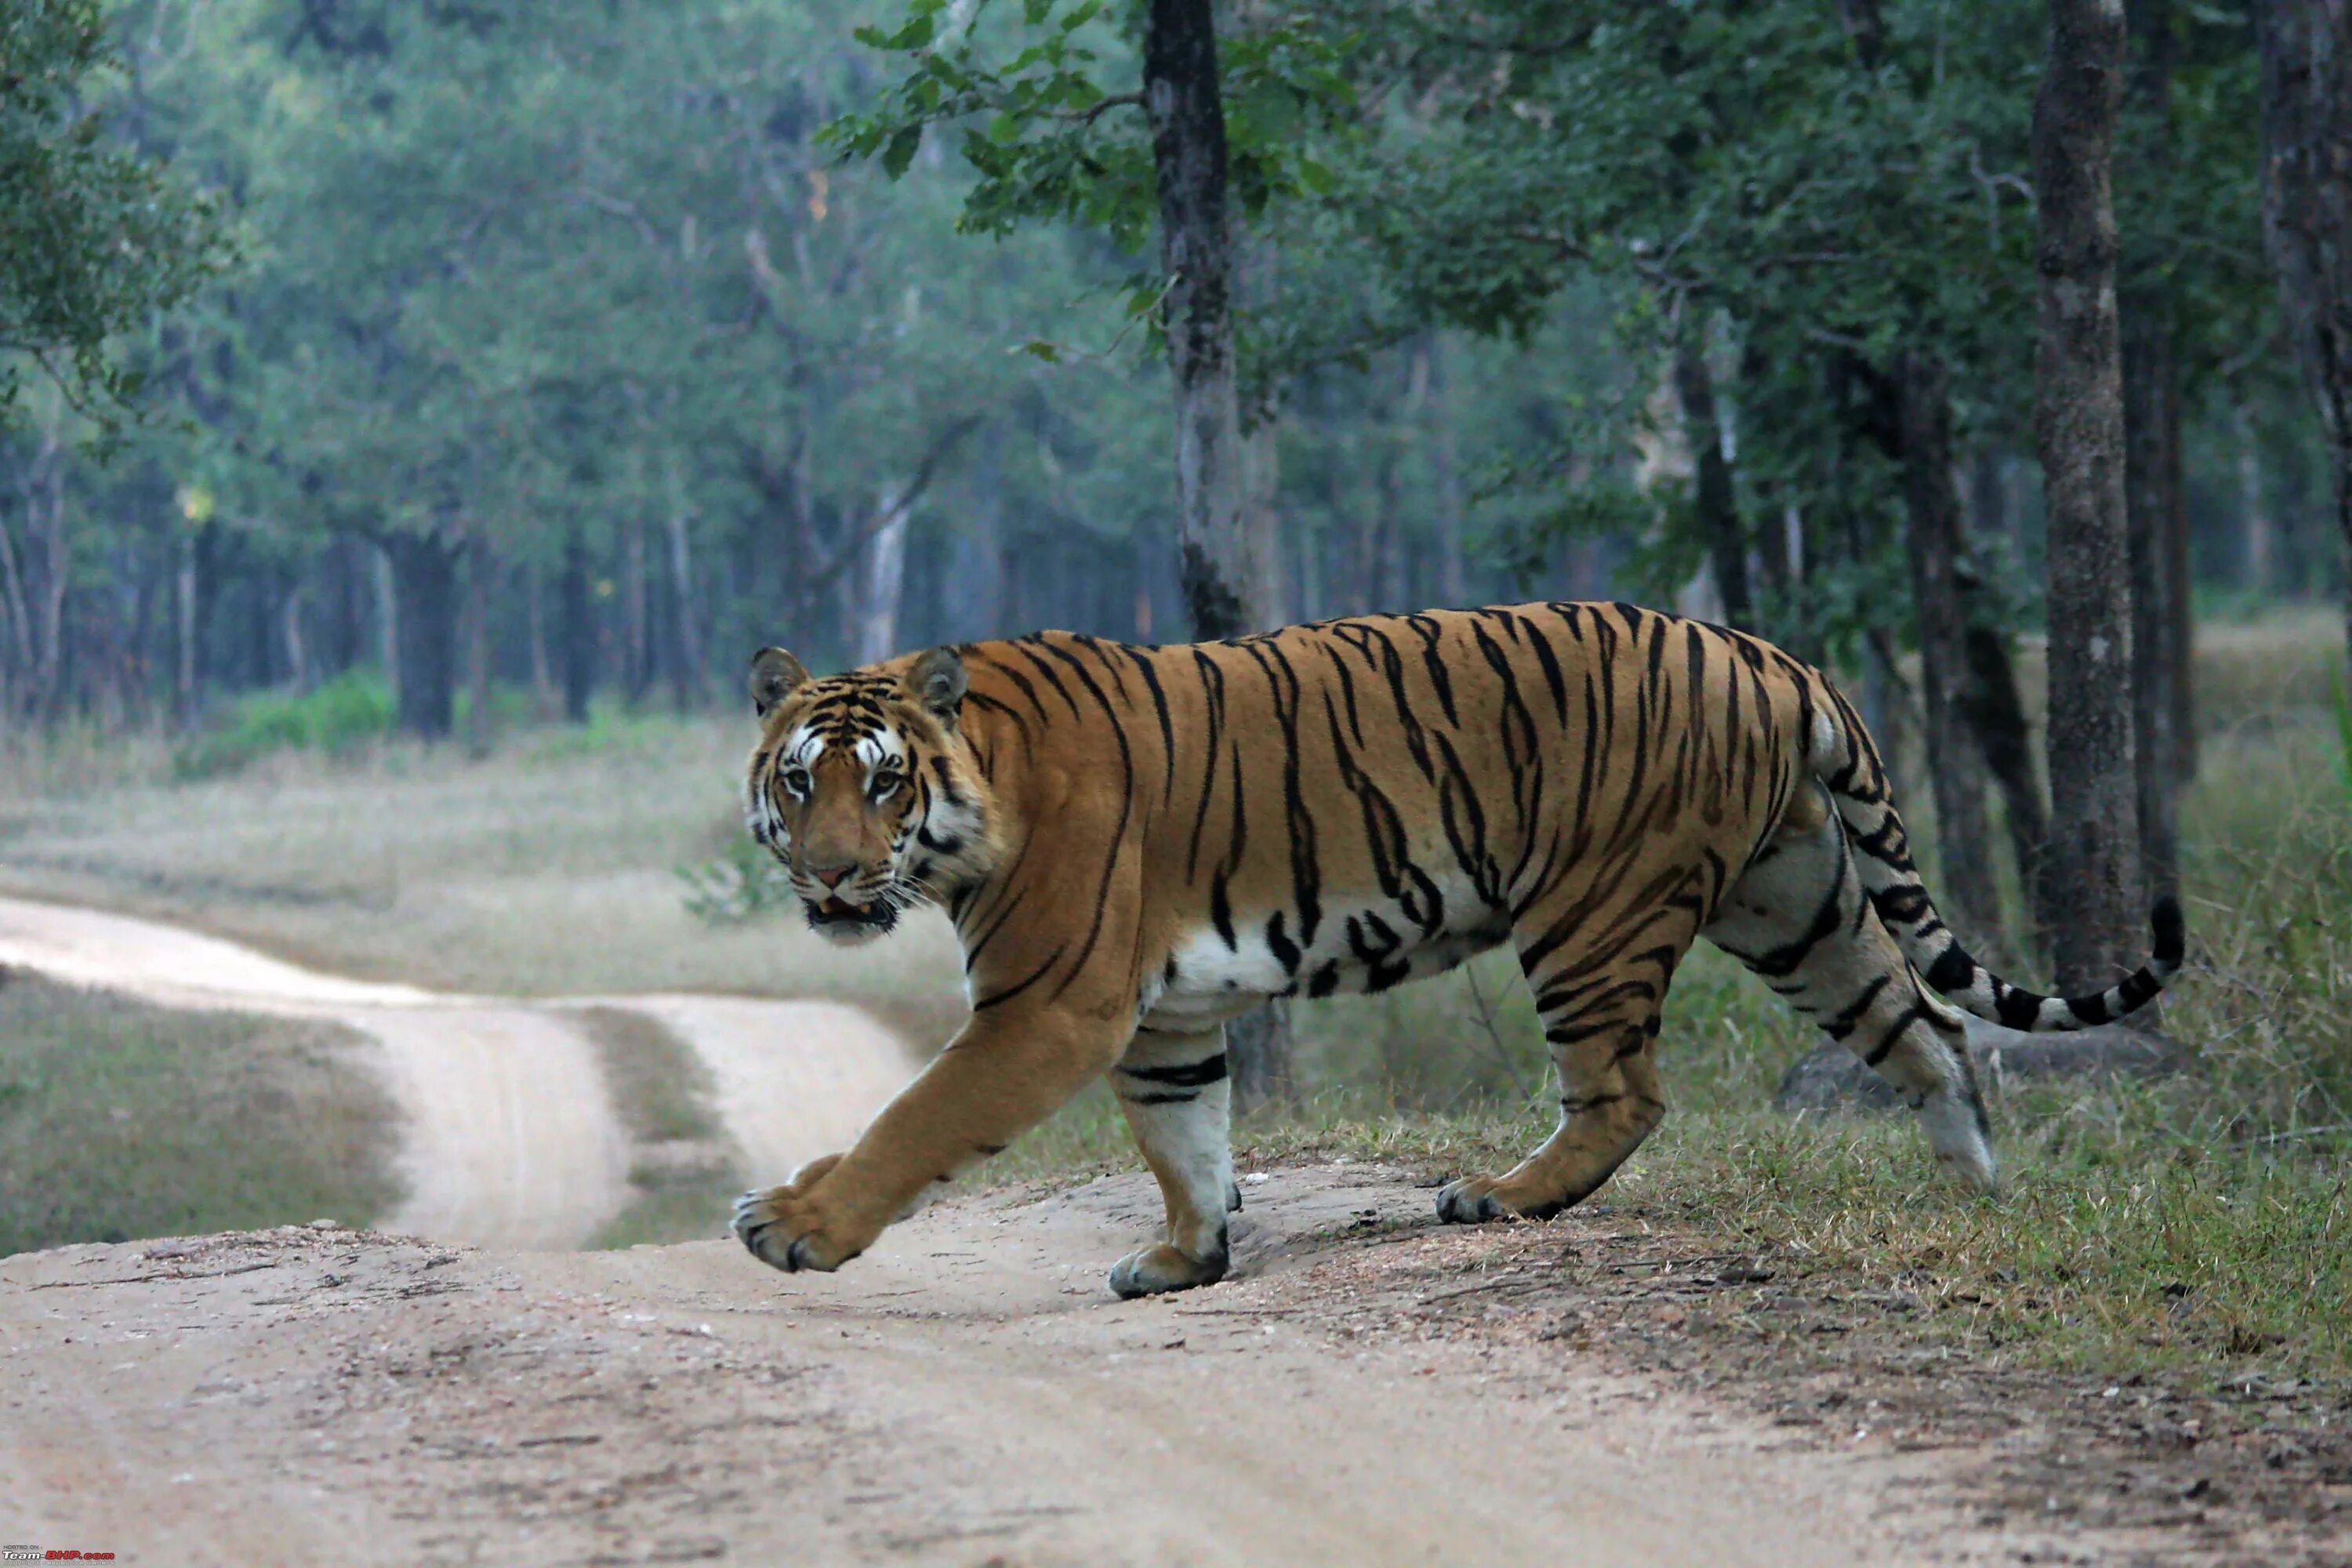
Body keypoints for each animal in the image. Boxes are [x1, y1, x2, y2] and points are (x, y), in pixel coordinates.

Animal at [734, 601, 2183, 1298]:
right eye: (801, 784)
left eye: (882, 784)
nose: (834, 876)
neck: (979, 797)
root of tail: (1767, 653)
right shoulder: (1163, 1022)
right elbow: (1186, 1143)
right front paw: (1185, 1260)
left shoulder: (1051, 1008)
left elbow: (913, 1121)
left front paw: (797, 1224)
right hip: (1798, 903)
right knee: (1926, 1030)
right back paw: (1975, 1193)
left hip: (1595, 912)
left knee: (1625, 1094)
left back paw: (1500, 1194)